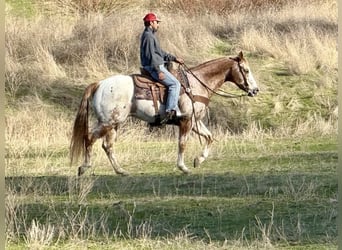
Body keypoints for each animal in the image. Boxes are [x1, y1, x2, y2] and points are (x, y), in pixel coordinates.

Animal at [71, 50, 260, 176]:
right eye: (246, 70)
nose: (255, 90)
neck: (196, 84)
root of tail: (99, 84)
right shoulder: (186, 121)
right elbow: (182, 144)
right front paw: (183, 167)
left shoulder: (195, 121)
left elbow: (209, 137)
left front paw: (198, 160)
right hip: (108, 123)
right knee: (90, 138)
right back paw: (84, 167)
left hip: (113, 124)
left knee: (107, 145)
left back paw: (121, 171)